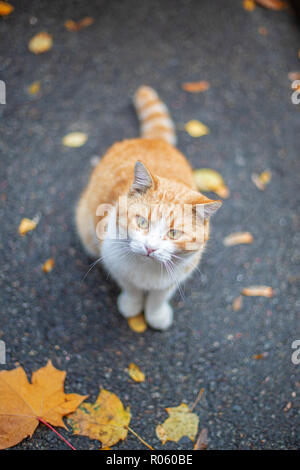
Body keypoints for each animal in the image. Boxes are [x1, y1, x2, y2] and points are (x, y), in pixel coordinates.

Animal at [76, 87, 221, 330]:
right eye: (142, 222)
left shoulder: (177, 275)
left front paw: (156, 314)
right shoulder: (113, 262)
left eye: (174, 233)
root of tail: (152, 140)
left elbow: (159, 297)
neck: (147, 269)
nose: (150, 248)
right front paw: (132, 306)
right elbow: (131, 288)